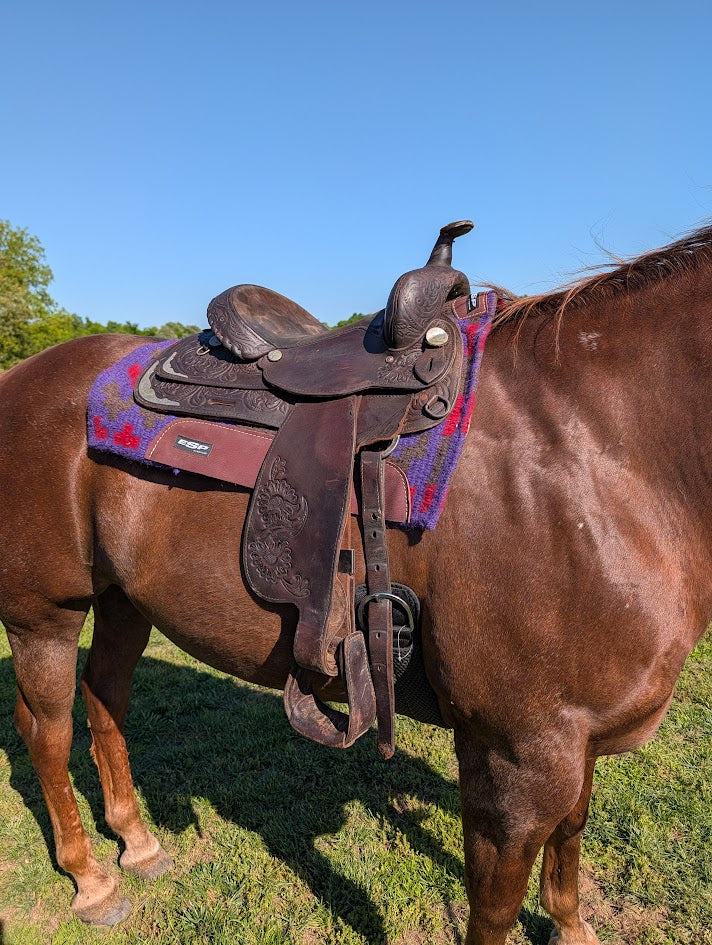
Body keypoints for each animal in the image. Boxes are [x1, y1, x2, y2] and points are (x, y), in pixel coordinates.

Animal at [1, 224, 711, 945]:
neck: (594, 449)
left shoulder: (577, 742)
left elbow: (572, 832)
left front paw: (570, 925)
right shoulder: (518, 755)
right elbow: (496, 907)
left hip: (122, 601)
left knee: (105, 697)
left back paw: (138, 844)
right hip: (44, 613)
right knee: (47, 730)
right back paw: (91, 880)